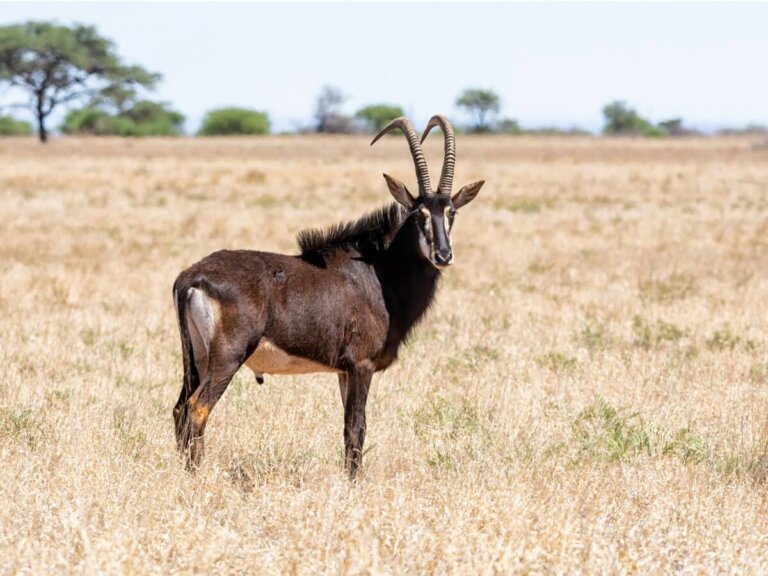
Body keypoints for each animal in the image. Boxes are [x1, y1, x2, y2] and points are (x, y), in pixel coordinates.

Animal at [172, 115, 484, 478]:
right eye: (417, 215)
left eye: (451, 213)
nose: (443, 255)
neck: (378, 271)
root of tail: (191, 277)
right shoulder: (361, 365)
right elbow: (357, 426)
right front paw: (354, 482)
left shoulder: (342, 371)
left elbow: (348, 427)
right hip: (227, 357)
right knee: (197, 408)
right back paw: (196, 475)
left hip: (197, 358)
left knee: (179, 409)